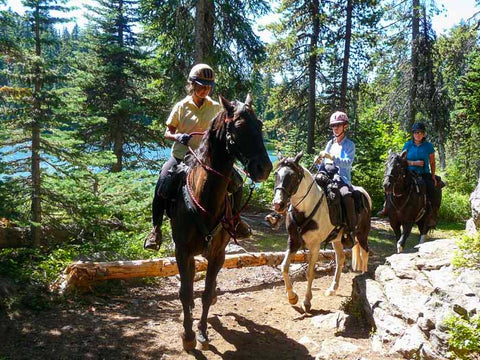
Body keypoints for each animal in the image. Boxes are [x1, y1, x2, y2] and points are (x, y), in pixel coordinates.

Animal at [272, 152, 370, 312]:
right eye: (276, 174)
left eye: (292, 176)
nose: (278, 204)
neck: (306, 208)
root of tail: (363, 192)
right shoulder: (293, 241)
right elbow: (284, 267)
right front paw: (292, 297)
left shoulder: (315, 245)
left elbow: (310, 273)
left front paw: (307, 301)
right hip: (337, 240)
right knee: (341, 259)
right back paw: (332, 289)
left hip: (362, 234)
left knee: (365, 252)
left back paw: (363, 277)